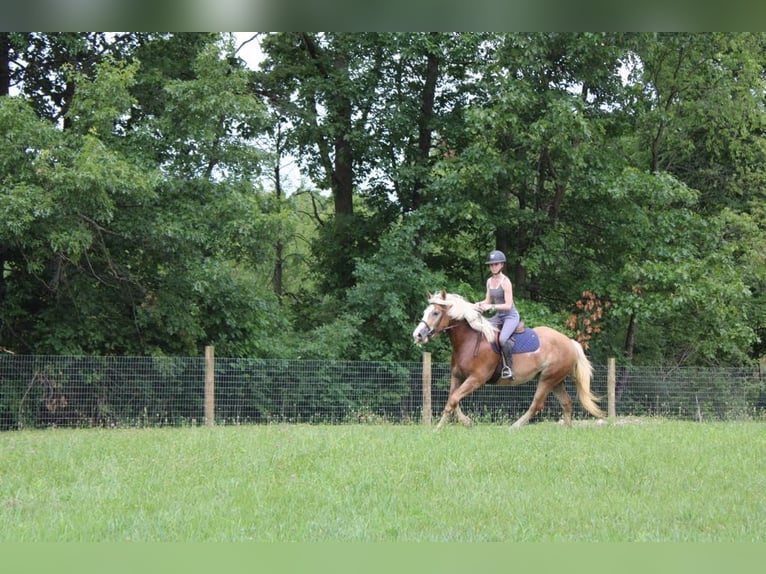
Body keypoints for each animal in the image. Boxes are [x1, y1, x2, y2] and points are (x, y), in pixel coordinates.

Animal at [414, 292, 608, 432]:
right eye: (424, 312)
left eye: (435, 313)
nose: (417, 335)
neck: (469, 340)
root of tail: (570, 342)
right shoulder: (457, 376)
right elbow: (452, 401)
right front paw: (465, 423)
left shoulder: (476, 379)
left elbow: (453, 400)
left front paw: (437, 429)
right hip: (556, 380)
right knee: (566, 402)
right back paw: (567, 430)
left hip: (548, 379)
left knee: (537, 404)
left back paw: (515, 426)